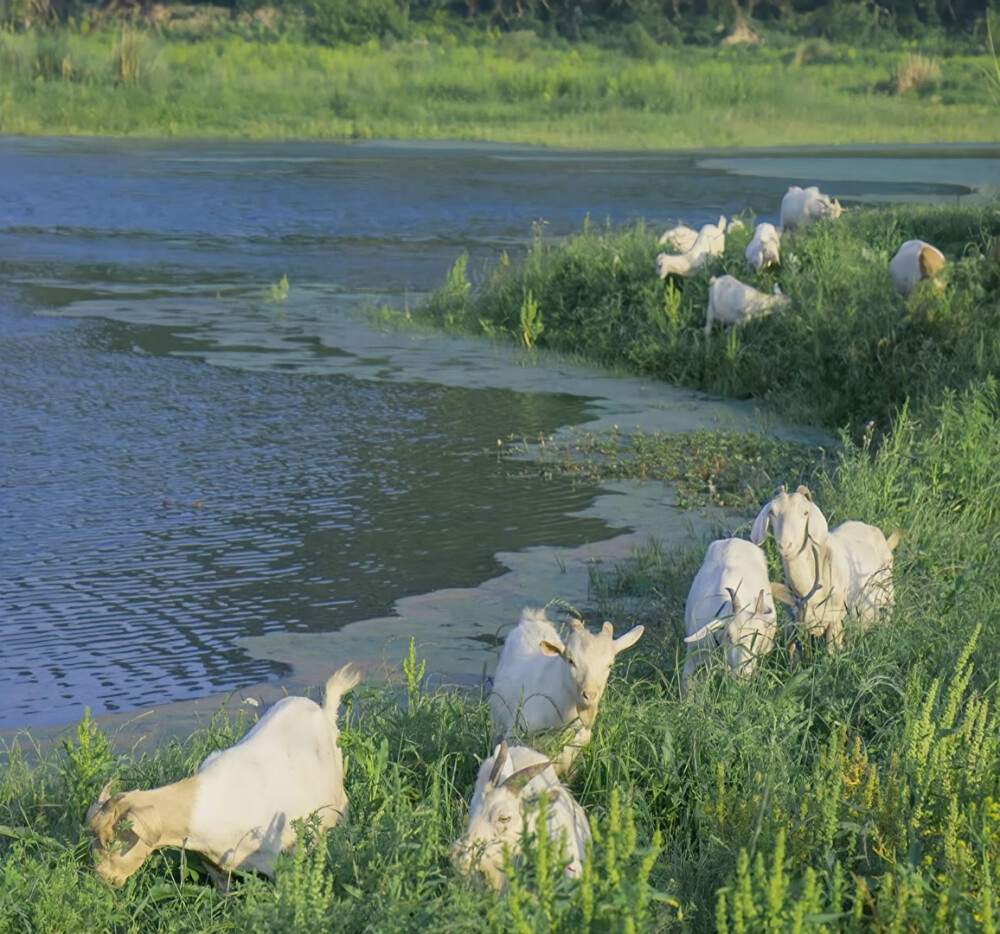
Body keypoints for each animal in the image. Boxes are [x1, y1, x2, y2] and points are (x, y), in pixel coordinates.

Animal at [85, 664, 360, 892]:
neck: (207, 806)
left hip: (336, 801)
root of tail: (324, 712)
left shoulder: (275, 859)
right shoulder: (214, 865)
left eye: (112, 841)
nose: (101, 878)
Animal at [752, 486, 900, 656]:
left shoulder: (835, 621)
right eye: (772, 512)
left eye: (805, 513)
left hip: (886, 599)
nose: (785, 546)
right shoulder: (792, 623)